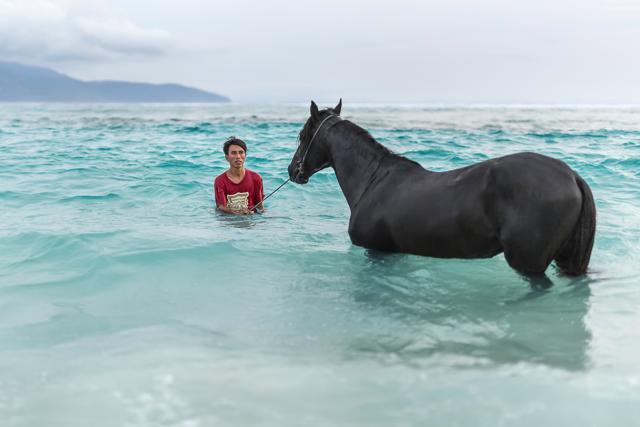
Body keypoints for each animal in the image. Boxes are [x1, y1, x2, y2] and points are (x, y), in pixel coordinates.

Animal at [287, 100, 596, 280]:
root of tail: (571, 176)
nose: (292, 171)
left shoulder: (377, 251)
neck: (373, 180)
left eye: (301, 136)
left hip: (528, 262)